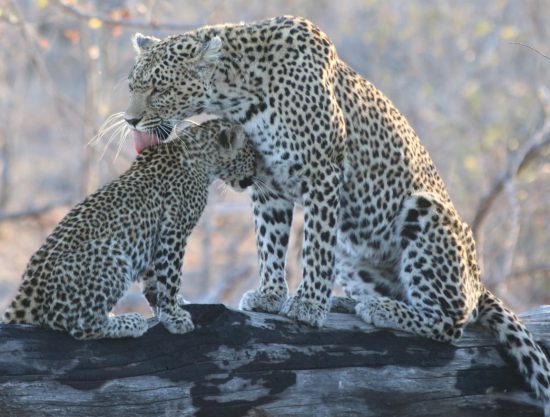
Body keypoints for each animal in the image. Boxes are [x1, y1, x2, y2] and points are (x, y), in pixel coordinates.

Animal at [125, 16, 550, 406]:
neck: (240, 91)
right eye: (132, 86)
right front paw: (271, 295)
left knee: (453, 322)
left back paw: (380, 308)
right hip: (352, 252)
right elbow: (269, 243)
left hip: (426, 213)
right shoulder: (267, 184)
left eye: (159, 88)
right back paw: (350, 301)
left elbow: (314, 247)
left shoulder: (322, 173)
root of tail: (479, 282)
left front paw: (308, 305)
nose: (130, 119)